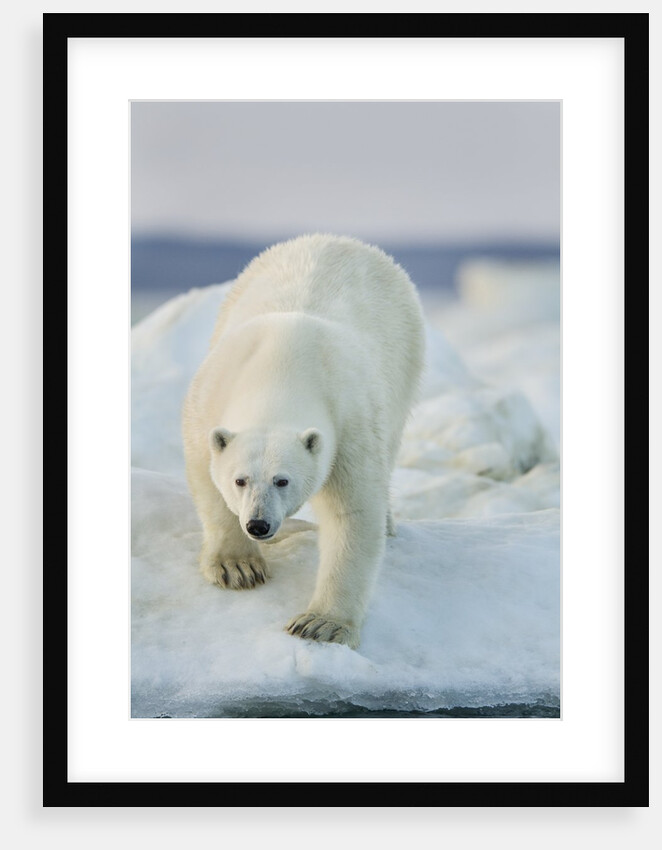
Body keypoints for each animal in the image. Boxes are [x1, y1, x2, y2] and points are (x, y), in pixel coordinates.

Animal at [182, 234, 425, 649]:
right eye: (240, 480)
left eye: (282, 480)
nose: (258, 525)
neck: (280, 368)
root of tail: (341, 239)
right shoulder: (208, 400)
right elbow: (206, 477)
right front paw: (238, 566)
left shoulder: (348, 421)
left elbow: (352, 513)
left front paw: (321, 624)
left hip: (404, 359)